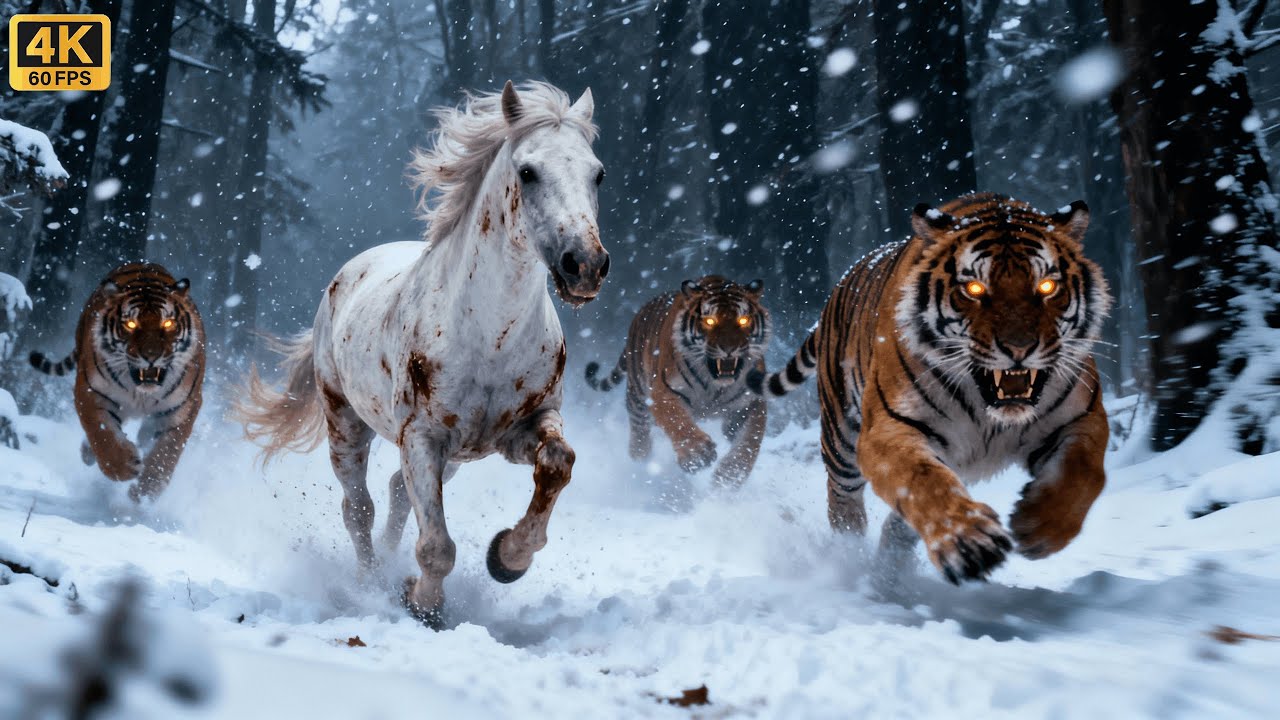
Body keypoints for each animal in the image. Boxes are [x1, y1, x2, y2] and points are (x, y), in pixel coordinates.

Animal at [235, 81, 609, 626]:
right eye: (527, 171)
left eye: (597, 173)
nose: (584, 265)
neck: (490, 337)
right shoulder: (422, 438)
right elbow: (437, 547)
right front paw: (424, 604)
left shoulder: (525, 426)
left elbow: (559, 462)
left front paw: (507, 558)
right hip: (345, 424)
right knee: (359, 508)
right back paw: (371, 583)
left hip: (453, 458)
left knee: (395, 493)